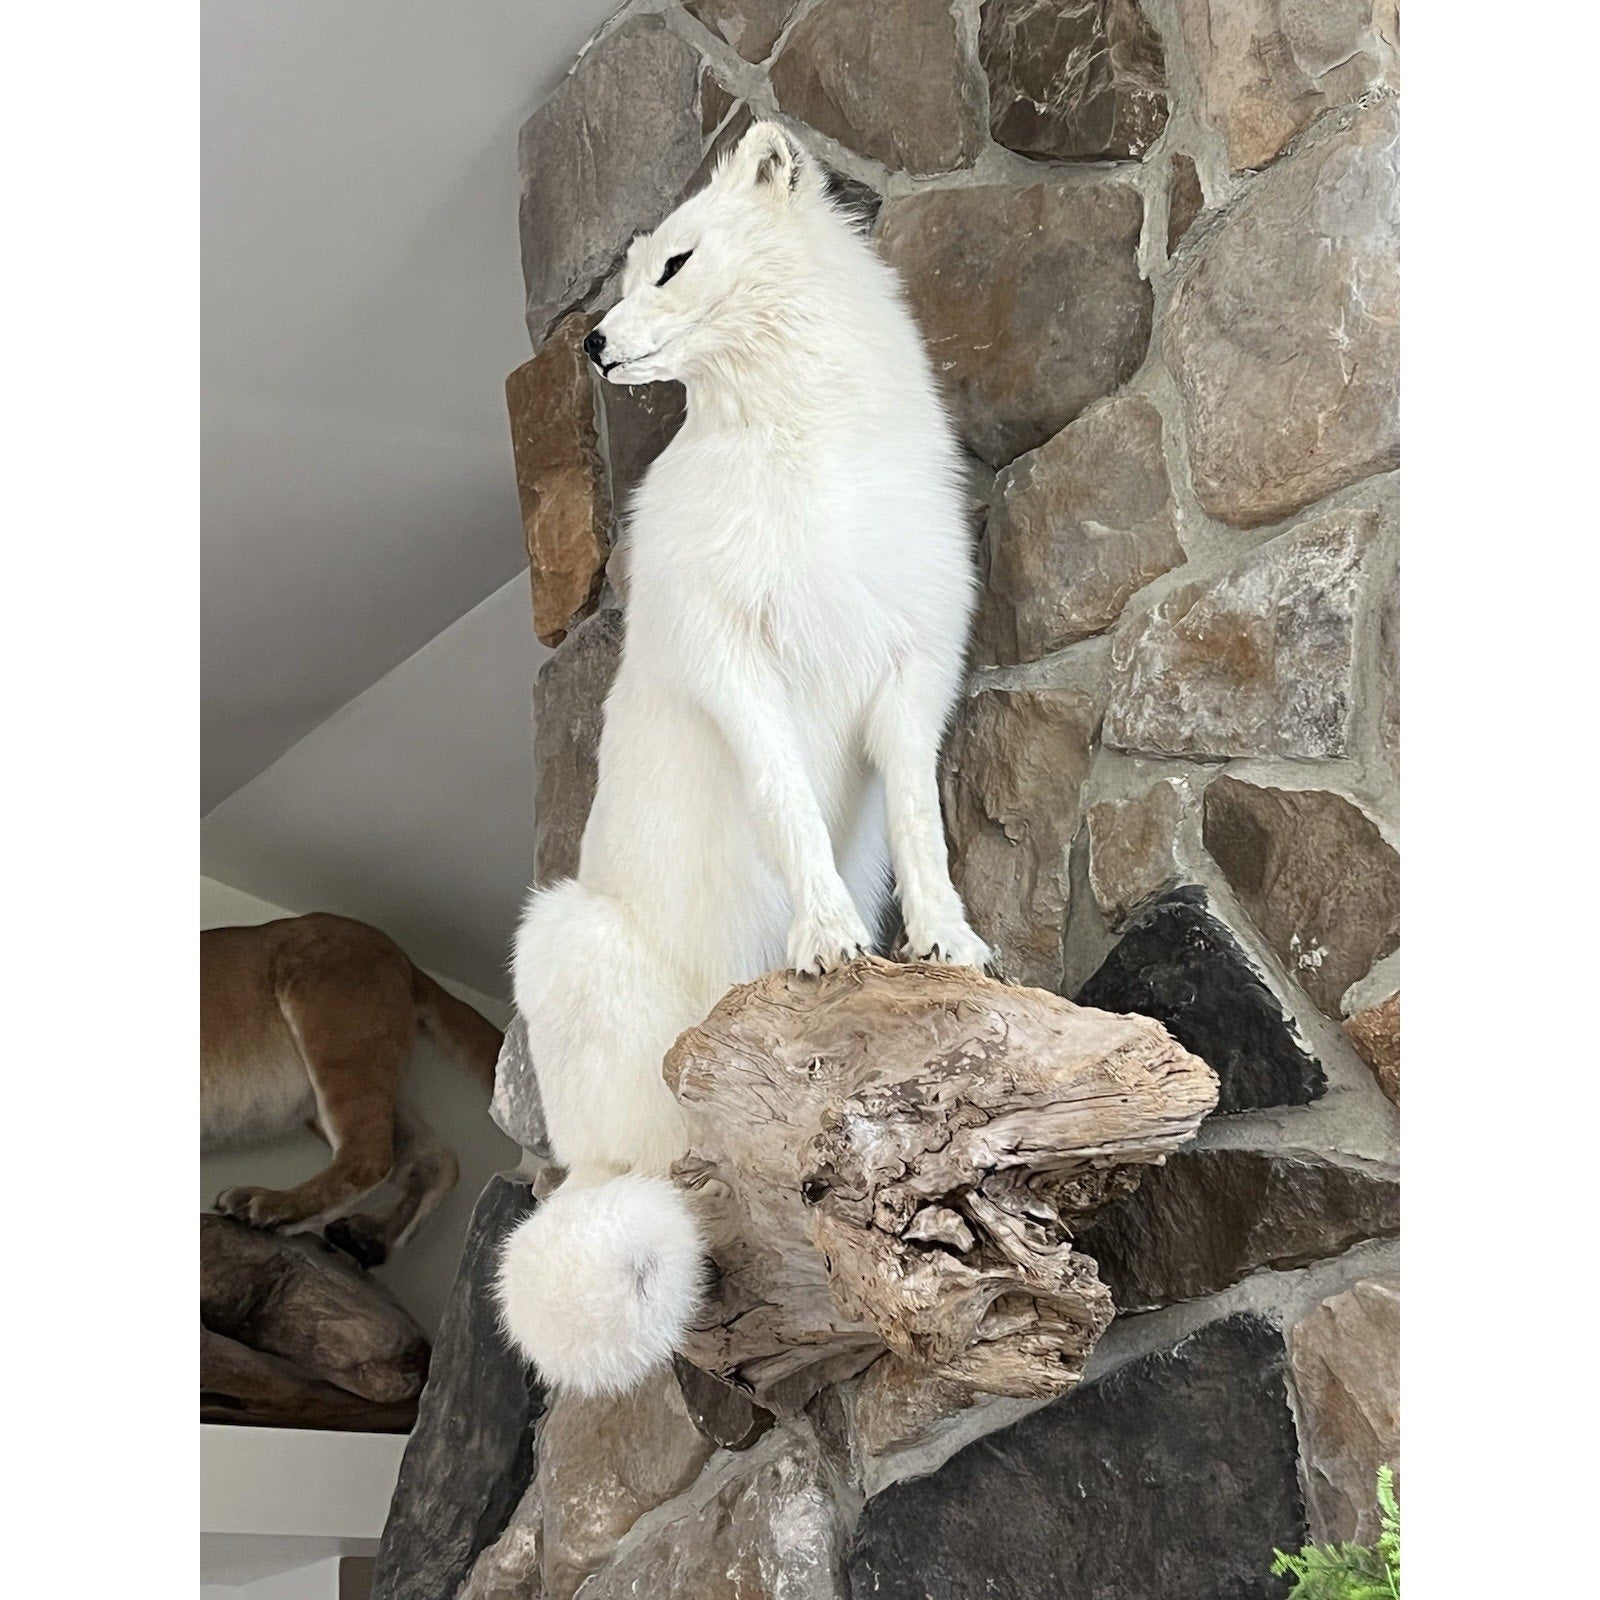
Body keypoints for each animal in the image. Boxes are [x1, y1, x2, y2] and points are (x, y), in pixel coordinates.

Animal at [495, 121, 990, 1395]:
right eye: (623, 278)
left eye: (672, 264)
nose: (595, 344)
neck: (804, 447)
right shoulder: (733, 664)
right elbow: (786, 802)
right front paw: (828, 941)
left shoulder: (915, 660)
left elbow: (916, 817)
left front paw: (944, 941)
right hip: (563, 939)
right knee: (673, 1160)